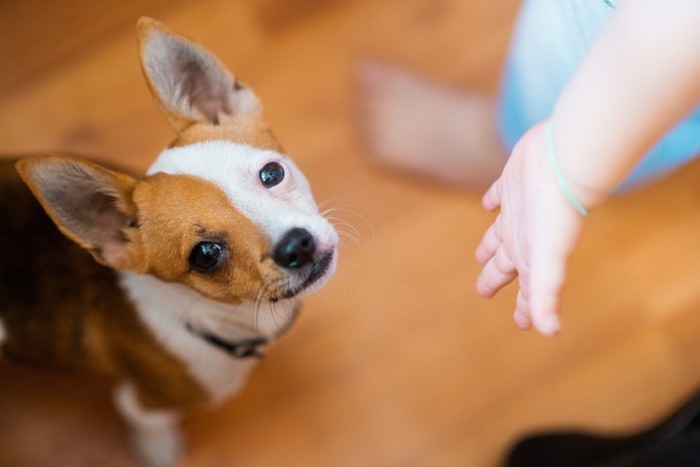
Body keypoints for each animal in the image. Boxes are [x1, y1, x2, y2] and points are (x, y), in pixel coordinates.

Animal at [0, 16, 340, 466]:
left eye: (272, 173)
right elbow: (153, 434)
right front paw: (160, 451)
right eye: (206, 255)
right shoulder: (142, 404)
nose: (295, 244)